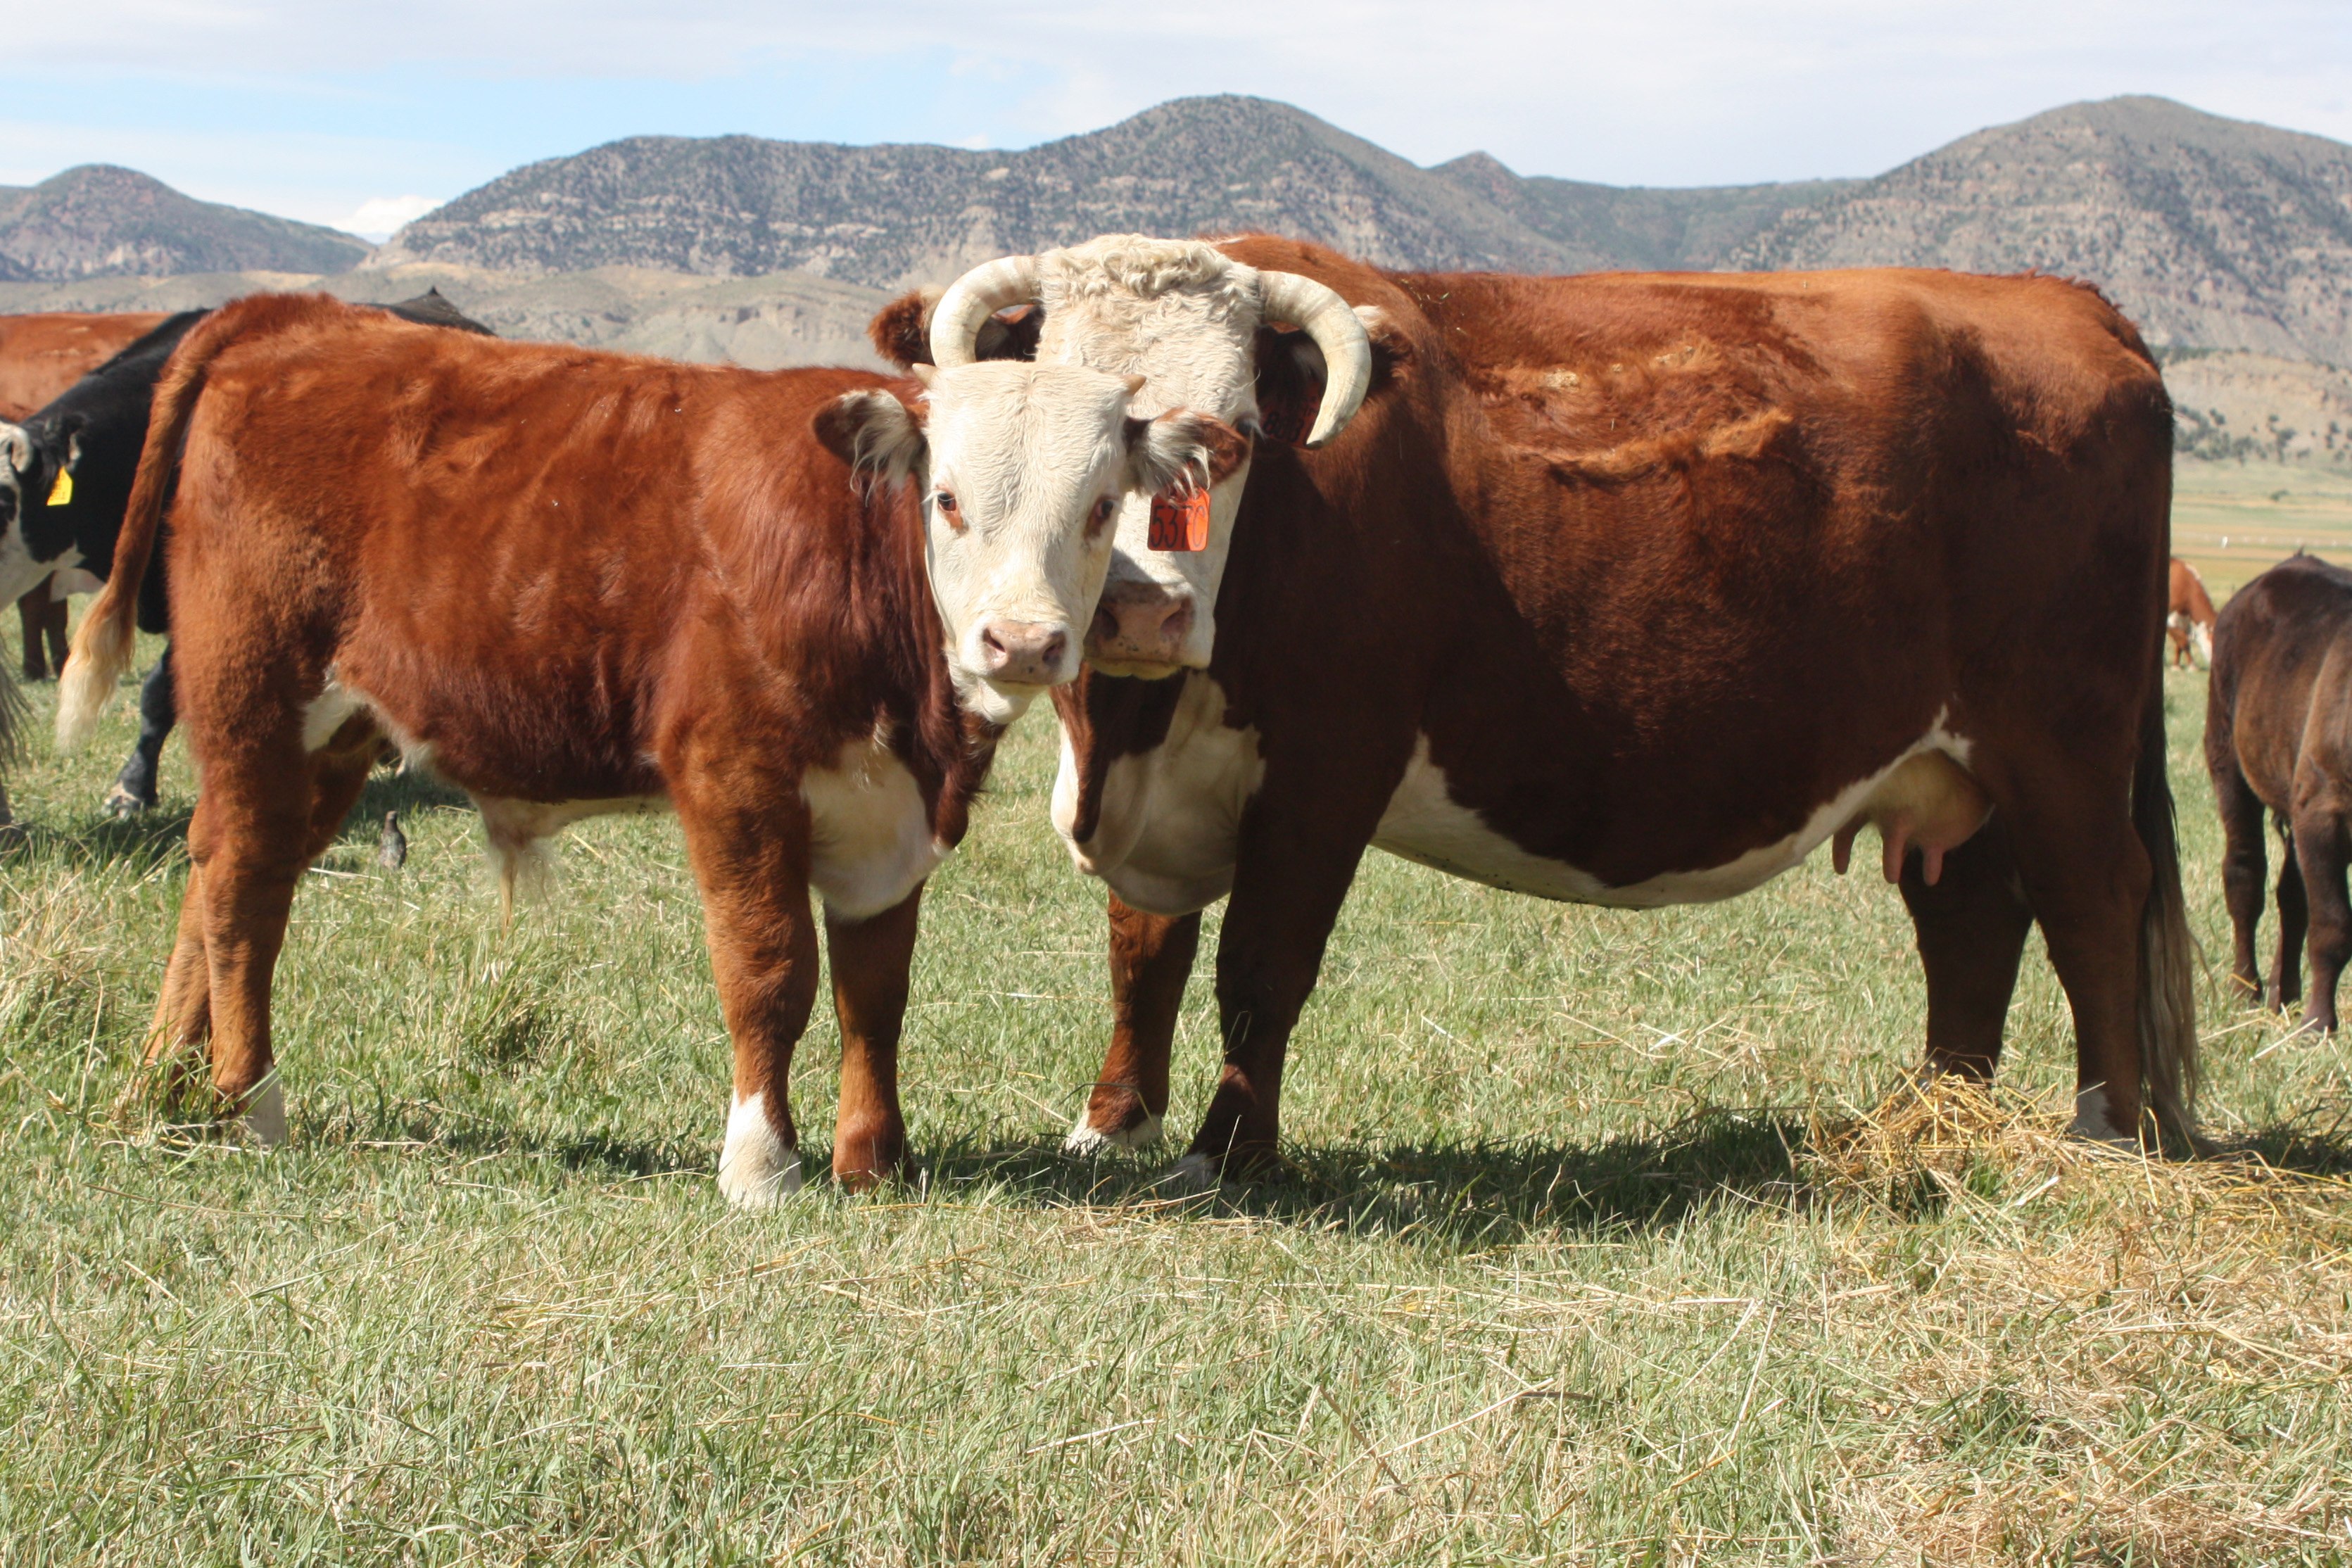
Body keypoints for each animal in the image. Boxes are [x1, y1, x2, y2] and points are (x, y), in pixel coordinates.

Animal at [55, 297, 1241, 1203]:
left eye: (1101, 506)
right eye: (945, 500)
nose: (1024, 642)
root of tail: (296, 316)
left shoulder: (889, 811)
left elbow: (875, 988)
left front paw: (873, 1159)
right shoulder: (733, 775)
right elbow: (770, 970)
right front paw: (762, 1165)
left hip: (334, 736)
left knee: (219, 873)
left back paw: (161, 1089)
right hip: (254, 695)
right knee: (245, 889)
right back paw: (250, 1105)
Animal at [884, 236, 2201, 1175]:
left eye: (1242, 433)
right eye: (1064, 460)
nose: (1139, 613)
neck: (1134, 730)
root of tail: (2064, 302)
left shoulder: (1326, 773)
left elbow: (1261, 965)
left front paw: (1229, 1154)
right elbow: (1141, 953)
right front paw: (1113, 1123)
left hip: (2060, 746)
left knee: (2093, 902)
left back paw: (2102, 1133)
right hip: (1949, 764)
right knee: (1973, 916)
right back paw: (1932, 1117)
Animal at [2201, 552, 2352, 1030]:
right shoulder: (2323, 809)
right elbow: (2333, 925)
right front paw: (2318, 1024)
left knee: (2291, 895)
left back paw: (2282, 993)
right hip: (2228, 759)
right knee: (2245, 875)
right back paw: (2246, 987)